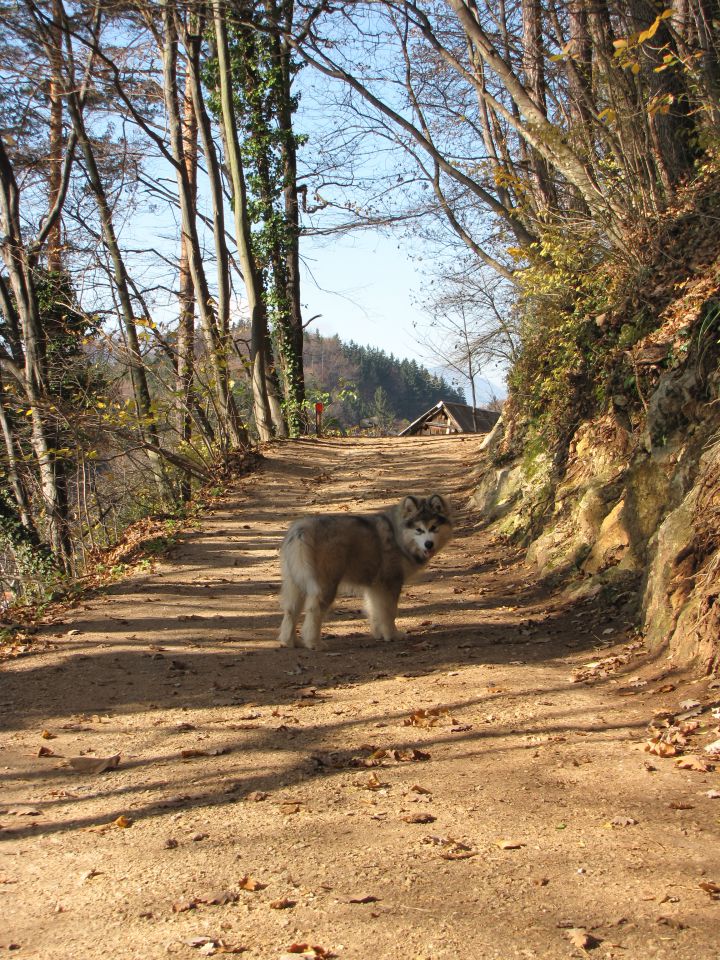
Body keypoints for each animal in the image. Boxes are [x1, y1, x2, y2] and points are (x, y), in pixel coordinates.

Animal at [278, 498, 452, 648]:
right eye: (419, 530)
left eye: (434, 528)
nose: (428, 544)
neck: (398, 535)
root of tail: (303, 527)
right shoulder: (391, 583)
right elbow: (389, 612)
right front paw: (393, 635)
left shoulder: (375, 587)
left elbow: (376, 611)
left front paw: (380, 634)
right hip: (325, 585)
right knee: (314, 611)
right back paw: (314, 643)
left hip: (297, 583)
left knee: (291, 611)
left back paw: (291, 642)